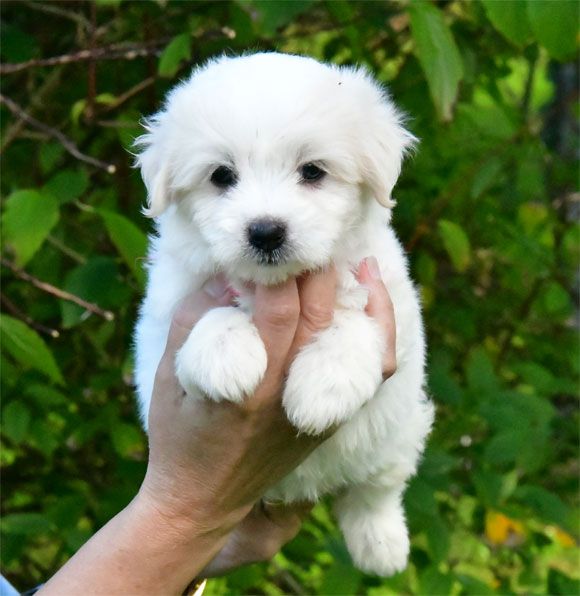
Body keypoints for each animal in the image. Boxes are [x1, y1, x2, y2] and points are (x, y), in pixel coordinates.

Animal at [134, 52, 432, 576]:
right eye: (221, 176)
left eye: (312, 171)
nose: (266, 231)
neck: (275, 284)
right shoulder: (162, 330)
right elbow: (211, 319)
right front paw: (226, 357)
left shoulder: (387, 304)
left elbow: (354, 326)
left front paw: (320, 390)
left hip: (399, 433)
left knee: (374, 492)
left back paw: (382, 546)